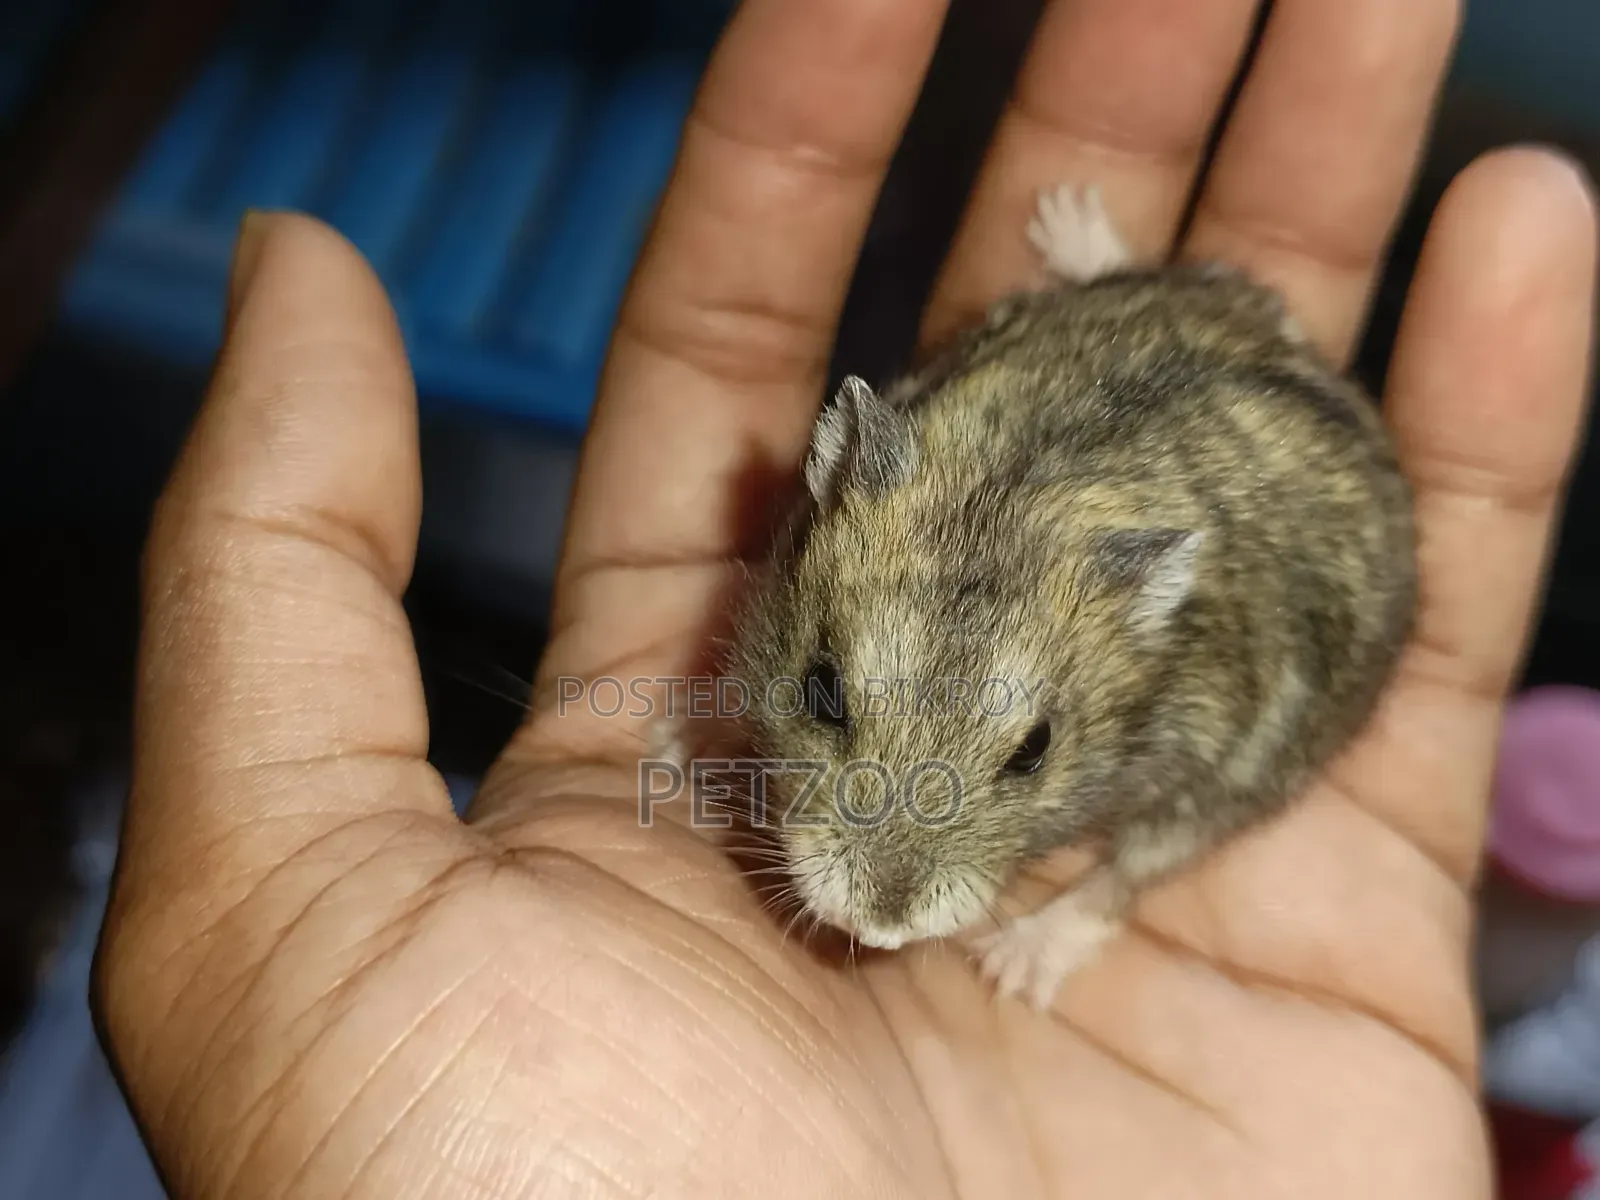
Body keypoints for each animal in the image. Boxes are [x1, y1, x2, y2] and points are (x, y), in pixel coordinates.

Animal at [720, 182, 1417, 1009]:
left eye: (1034, 752)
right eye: (820, 690)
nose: (879, 930)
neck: (1026, 498)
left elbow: (1123, 880)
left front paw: (1002, 971)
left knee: (1125, 878)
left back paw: (1016, 964)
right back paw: (1070, 220)